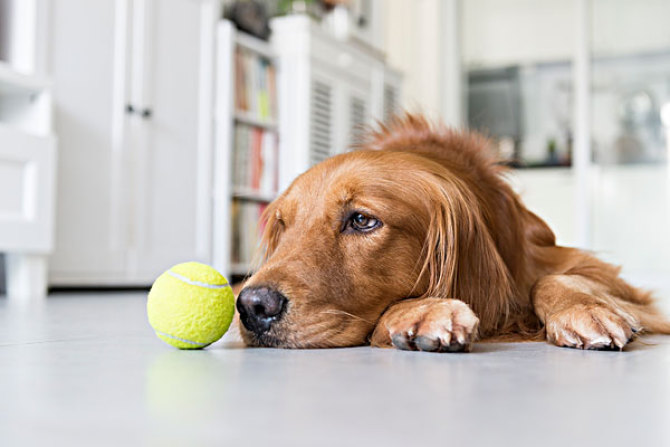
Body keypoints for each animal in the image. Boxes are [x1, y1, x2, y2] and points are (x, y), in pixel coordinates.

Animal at [236, 114, 670, 352]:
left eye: (361, 220)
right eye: (283, 226)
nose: (252, 306)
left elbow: (554, 279)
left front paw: (582, 308)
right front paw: (422, 310)